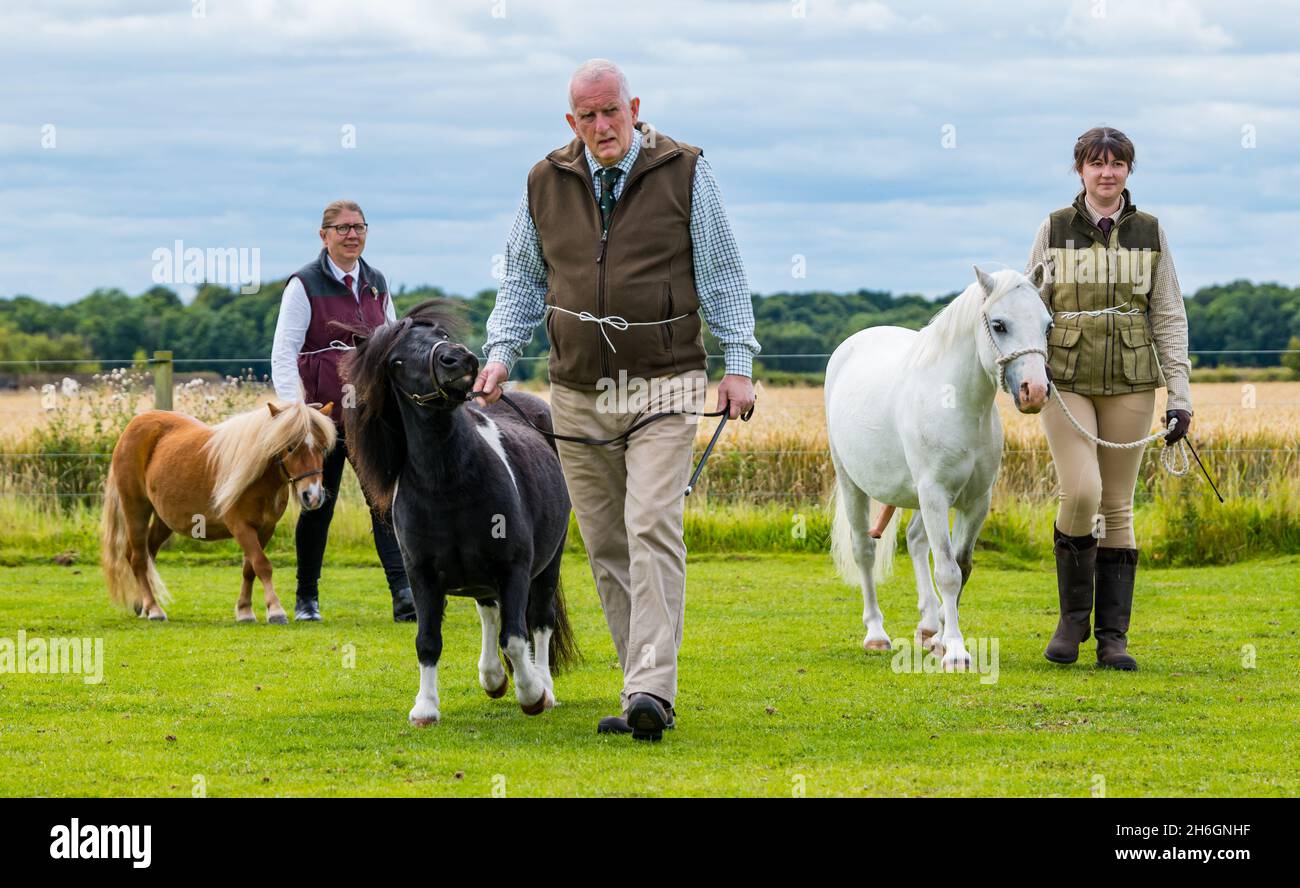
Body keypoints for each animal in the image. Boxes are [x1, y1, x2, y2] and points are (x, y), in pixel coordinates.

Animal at [102, 400, 335, 621]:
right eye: (290, 447)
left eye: (323, 448)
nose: (313, 495)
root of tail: (133, 425)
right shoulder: (241, 527)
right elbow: (262, 565)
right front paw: (276, 610)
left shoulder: (266, 528)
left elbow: (249, 568)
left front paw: (245, 610)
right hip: (136, 508)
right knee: (139, 559)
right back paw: (153, 608)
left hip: (164, 520)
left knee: (146, 553)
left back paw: (143, 606)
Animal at [338, 301, 577, 728]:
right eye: (396, 360)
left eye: (442, 336)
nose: (457, 359)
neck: (448, 484)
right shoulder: (421, 576)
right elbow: (428, 640)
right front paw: (425, 707)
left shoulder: (515, 569)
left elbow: (516, 638)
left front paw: (531, 694)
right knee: (489, 611)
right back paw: (493, 677)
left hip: (548, 565)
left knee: (539, 620)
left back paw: (544, 686)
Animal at [832, 267, 1055, 670]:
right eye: (999, 325)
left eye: (1047, 325)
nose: (1035, 391)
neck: (958, 404)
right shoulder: (935, 494)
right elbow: (948, 572)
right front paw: (955, 651)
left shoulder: (976, 500)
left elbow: (961, 567)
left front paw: (940, 639)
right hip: (852, 483)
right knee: (864, 551)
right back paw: (876, 634)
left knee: (915, 541)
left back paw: (927, 626)